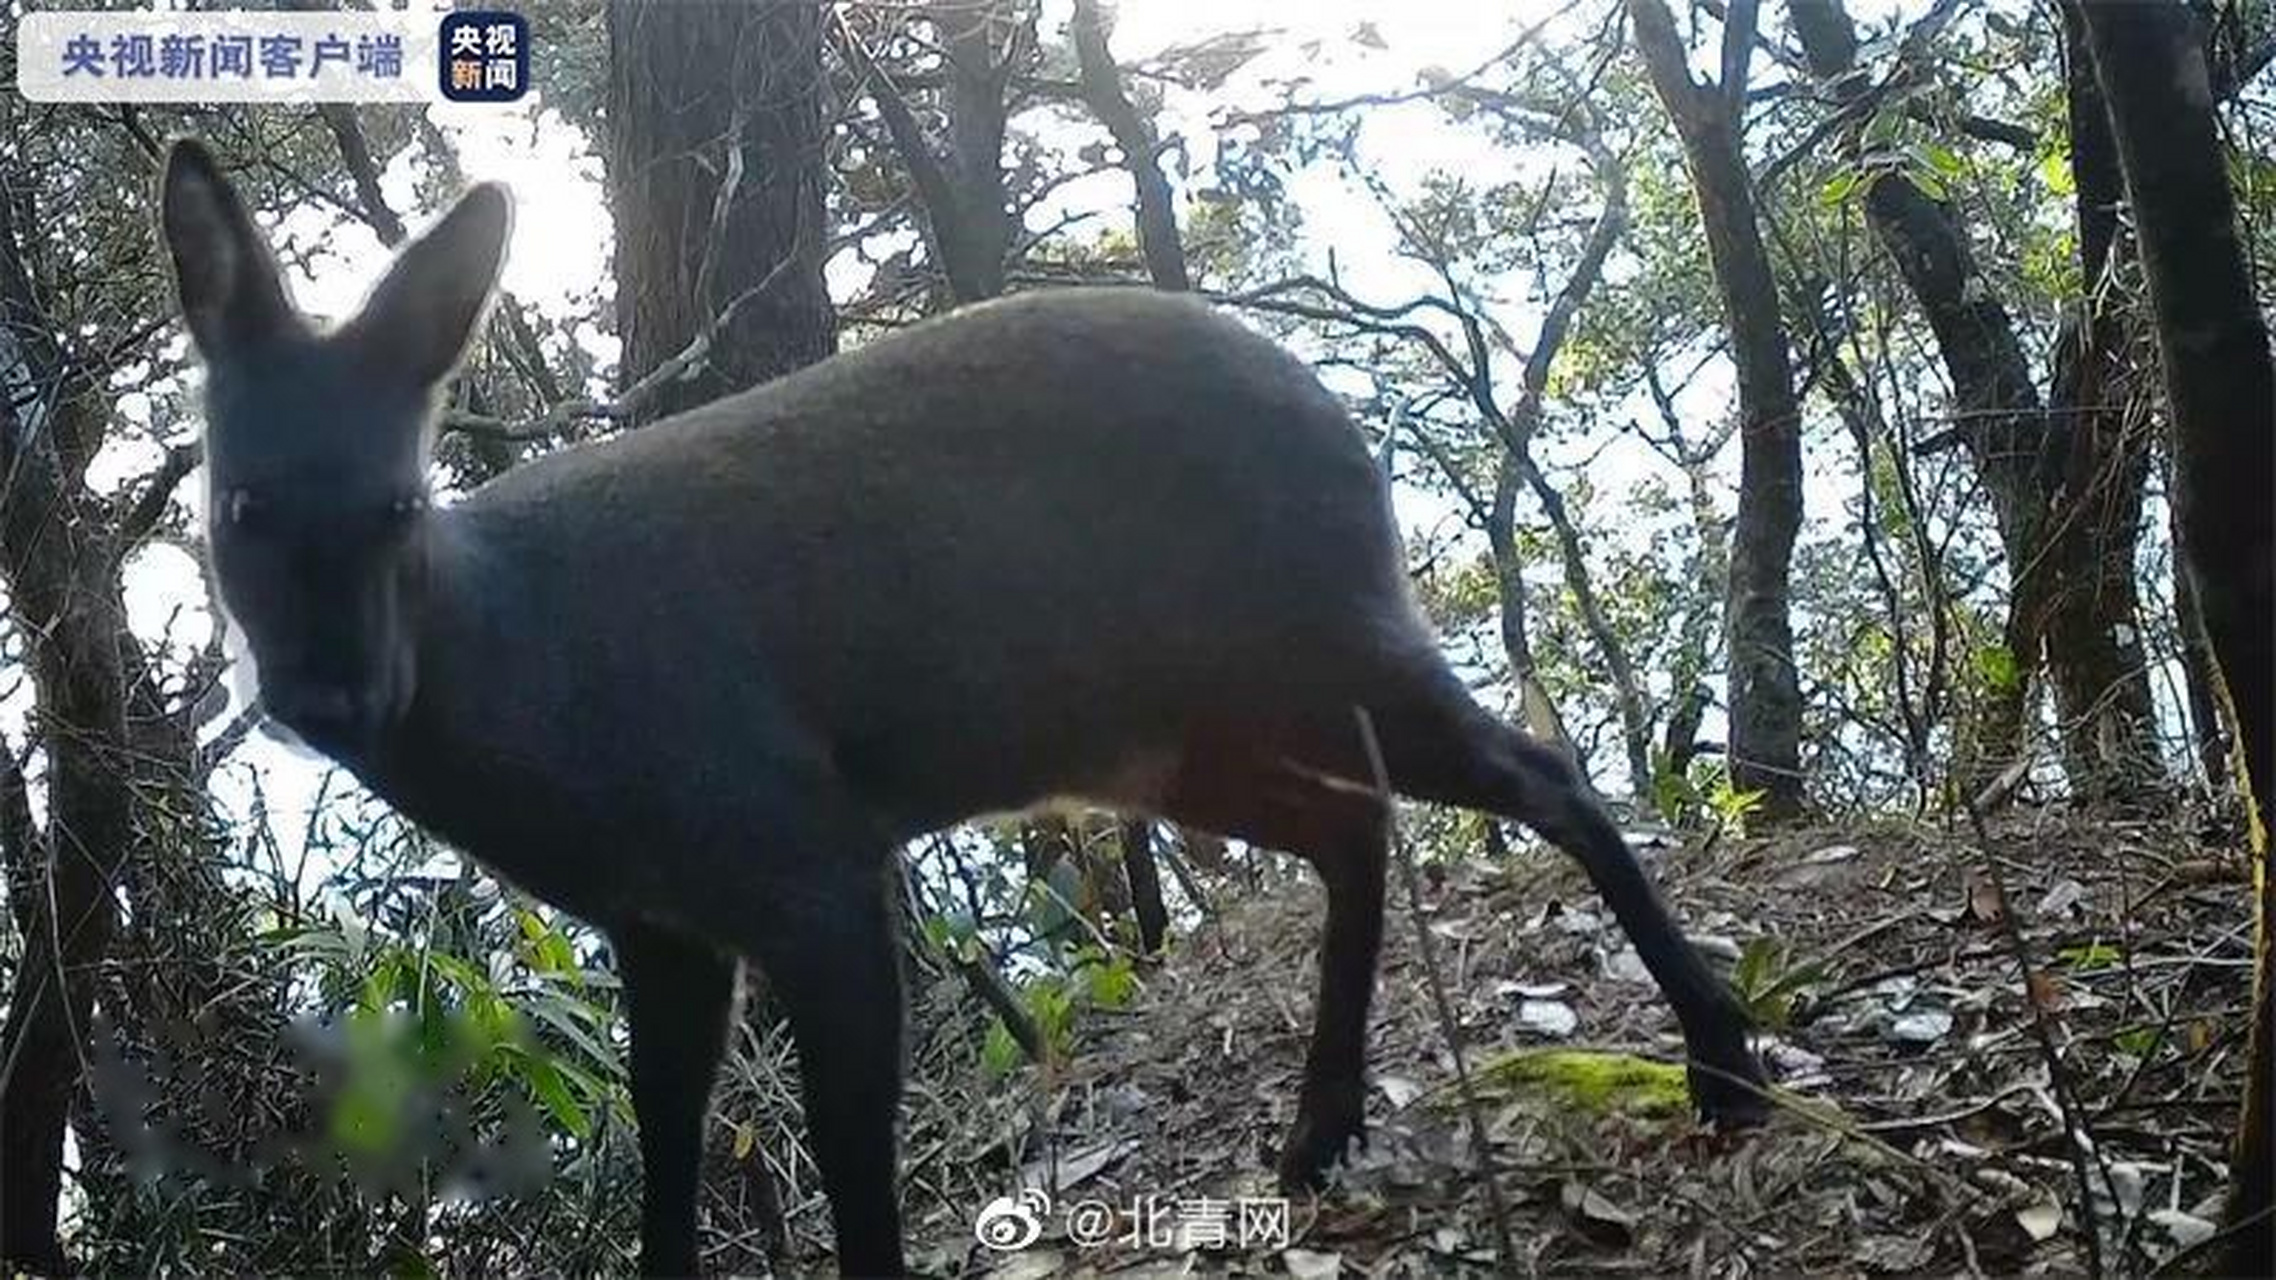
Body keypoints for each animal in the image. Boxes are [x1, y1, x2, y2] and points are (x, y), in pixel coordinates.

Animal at [160, 137, 1766, 1266]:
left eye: (395, 506)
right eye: (237, 506)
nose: (331, 693)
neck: (545, 696)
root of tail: (1346, 422)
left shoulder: (799, 850)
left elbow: (846, 1153)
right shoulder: (662, 920)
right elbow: (669, 1140)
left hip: (1324, 638)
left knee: (1543, 774)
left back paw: (1722, 1067)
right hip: (1182, 735)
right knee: (1357, 829)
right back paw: (1318, 1135)